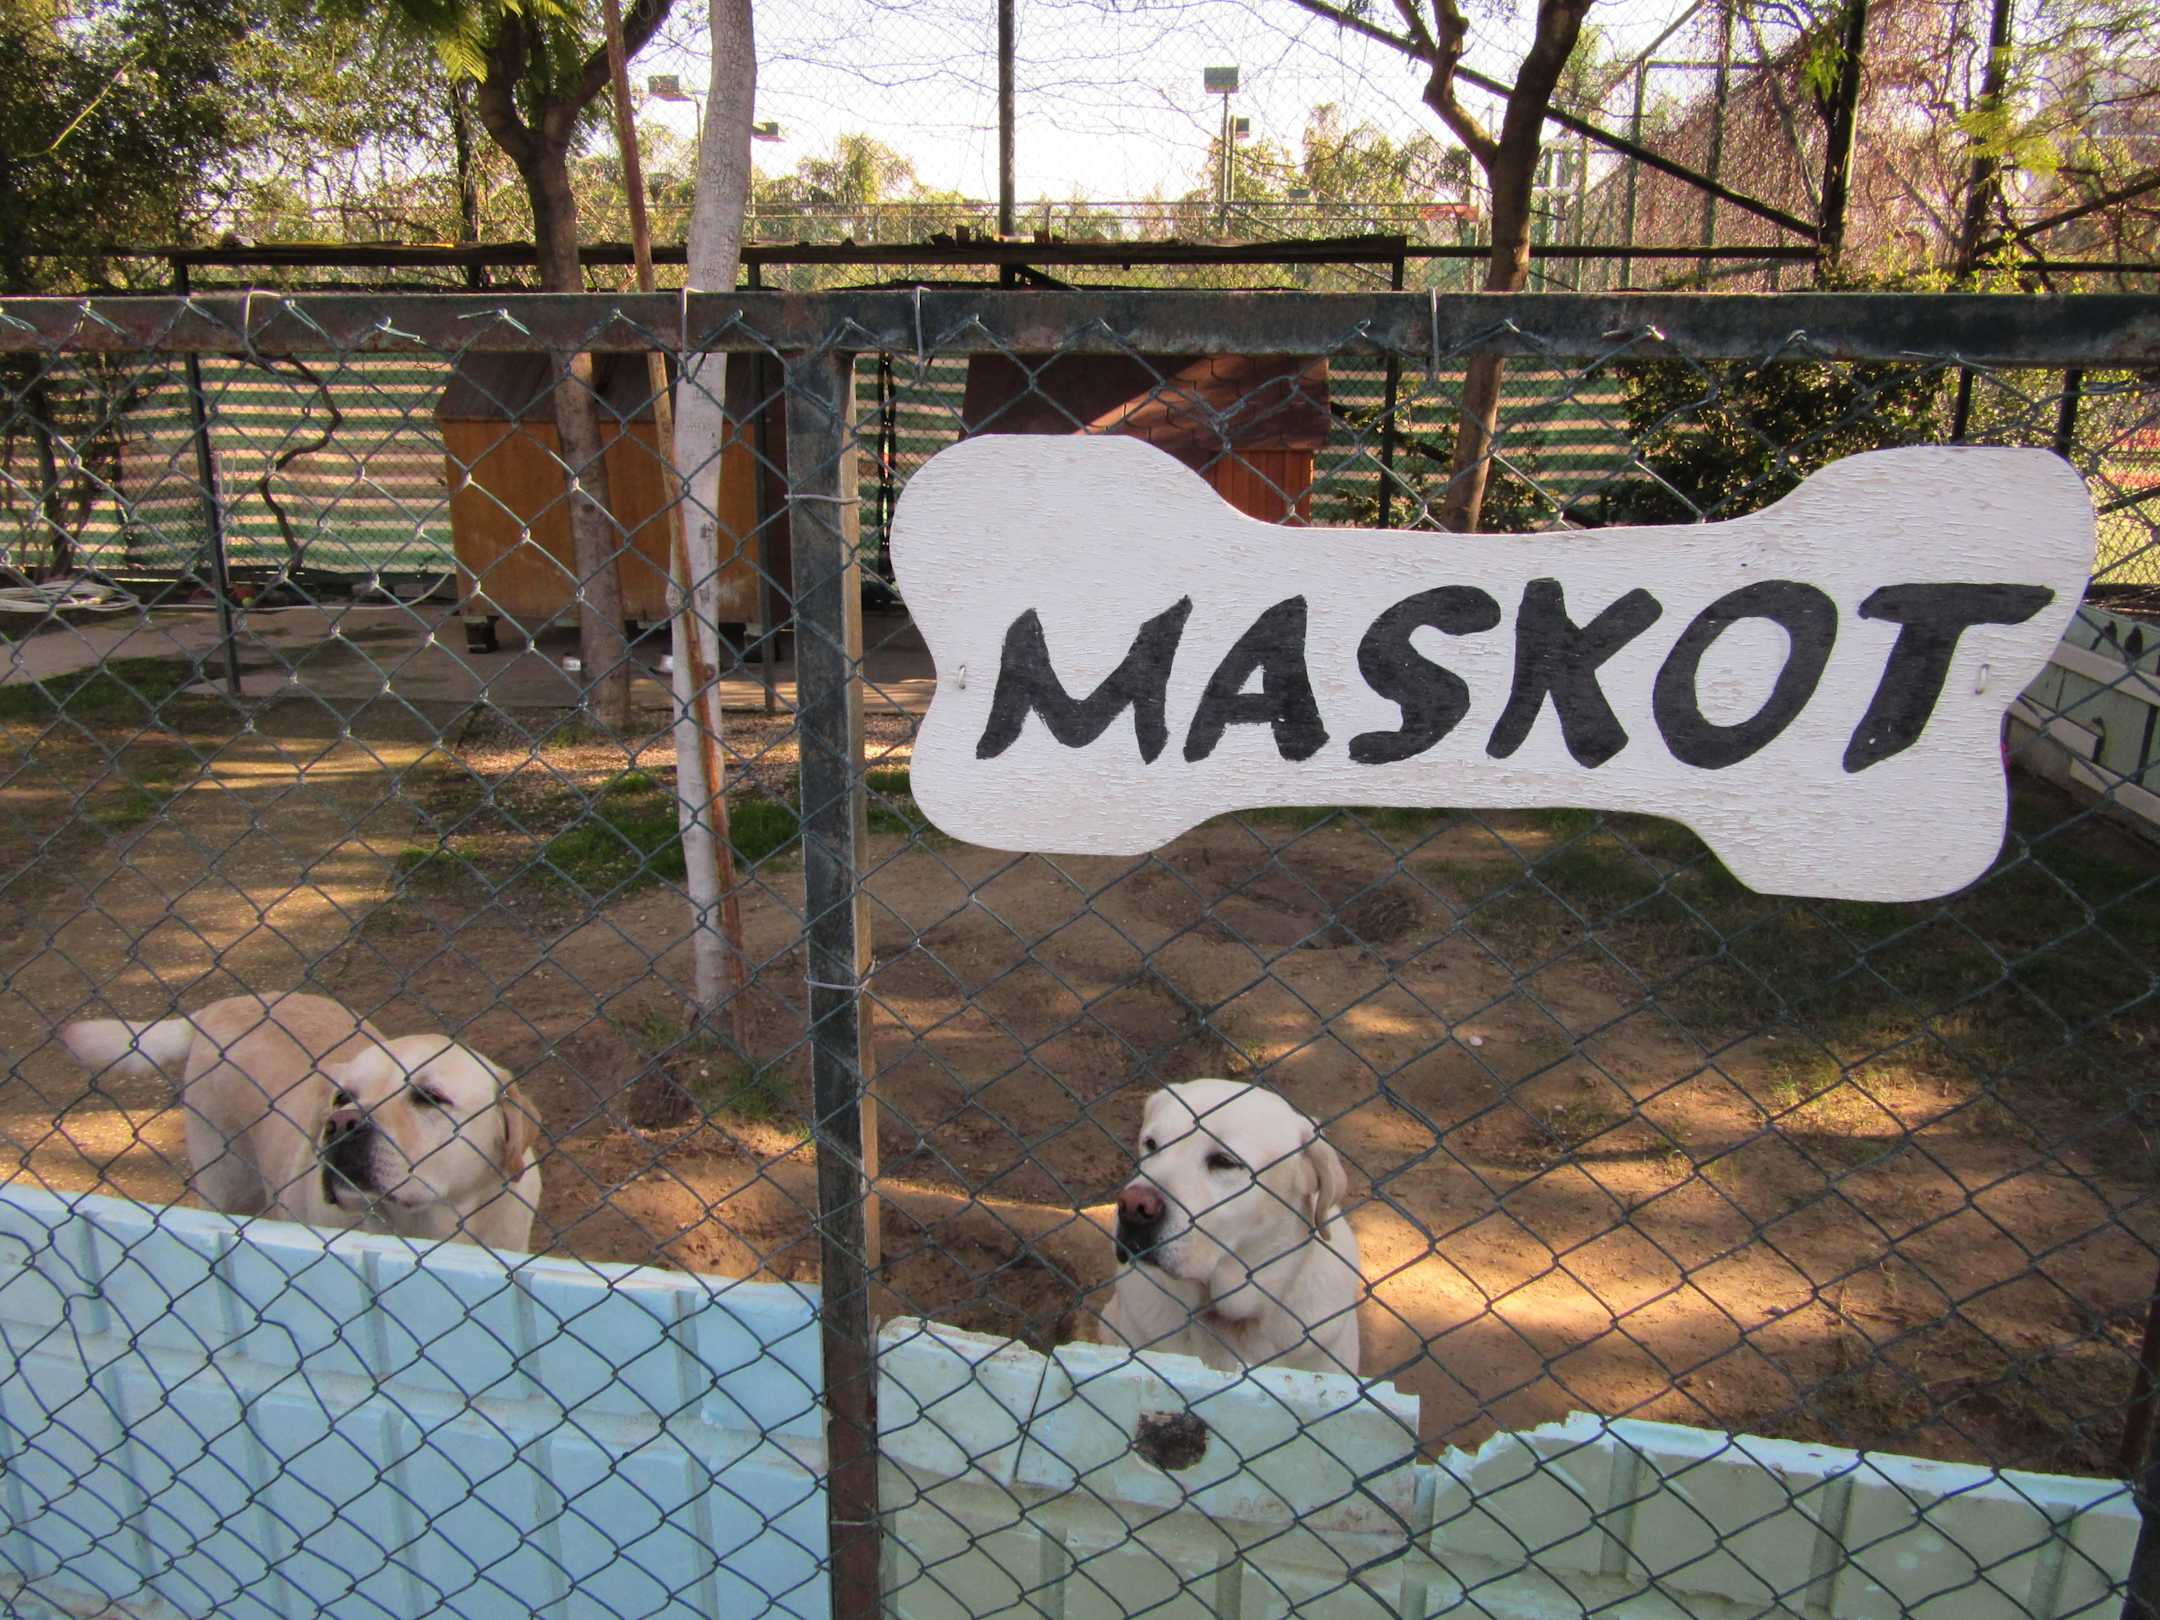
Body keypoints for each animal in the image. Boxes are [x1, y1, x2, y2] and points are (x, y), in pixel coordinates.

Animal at [59, 992, 542, 1251]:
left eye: (429, 1097)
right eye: (342, 1097)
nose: (342, 1124)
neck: (430, 1225)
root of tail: (219, 1006)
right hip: (226, 1181)